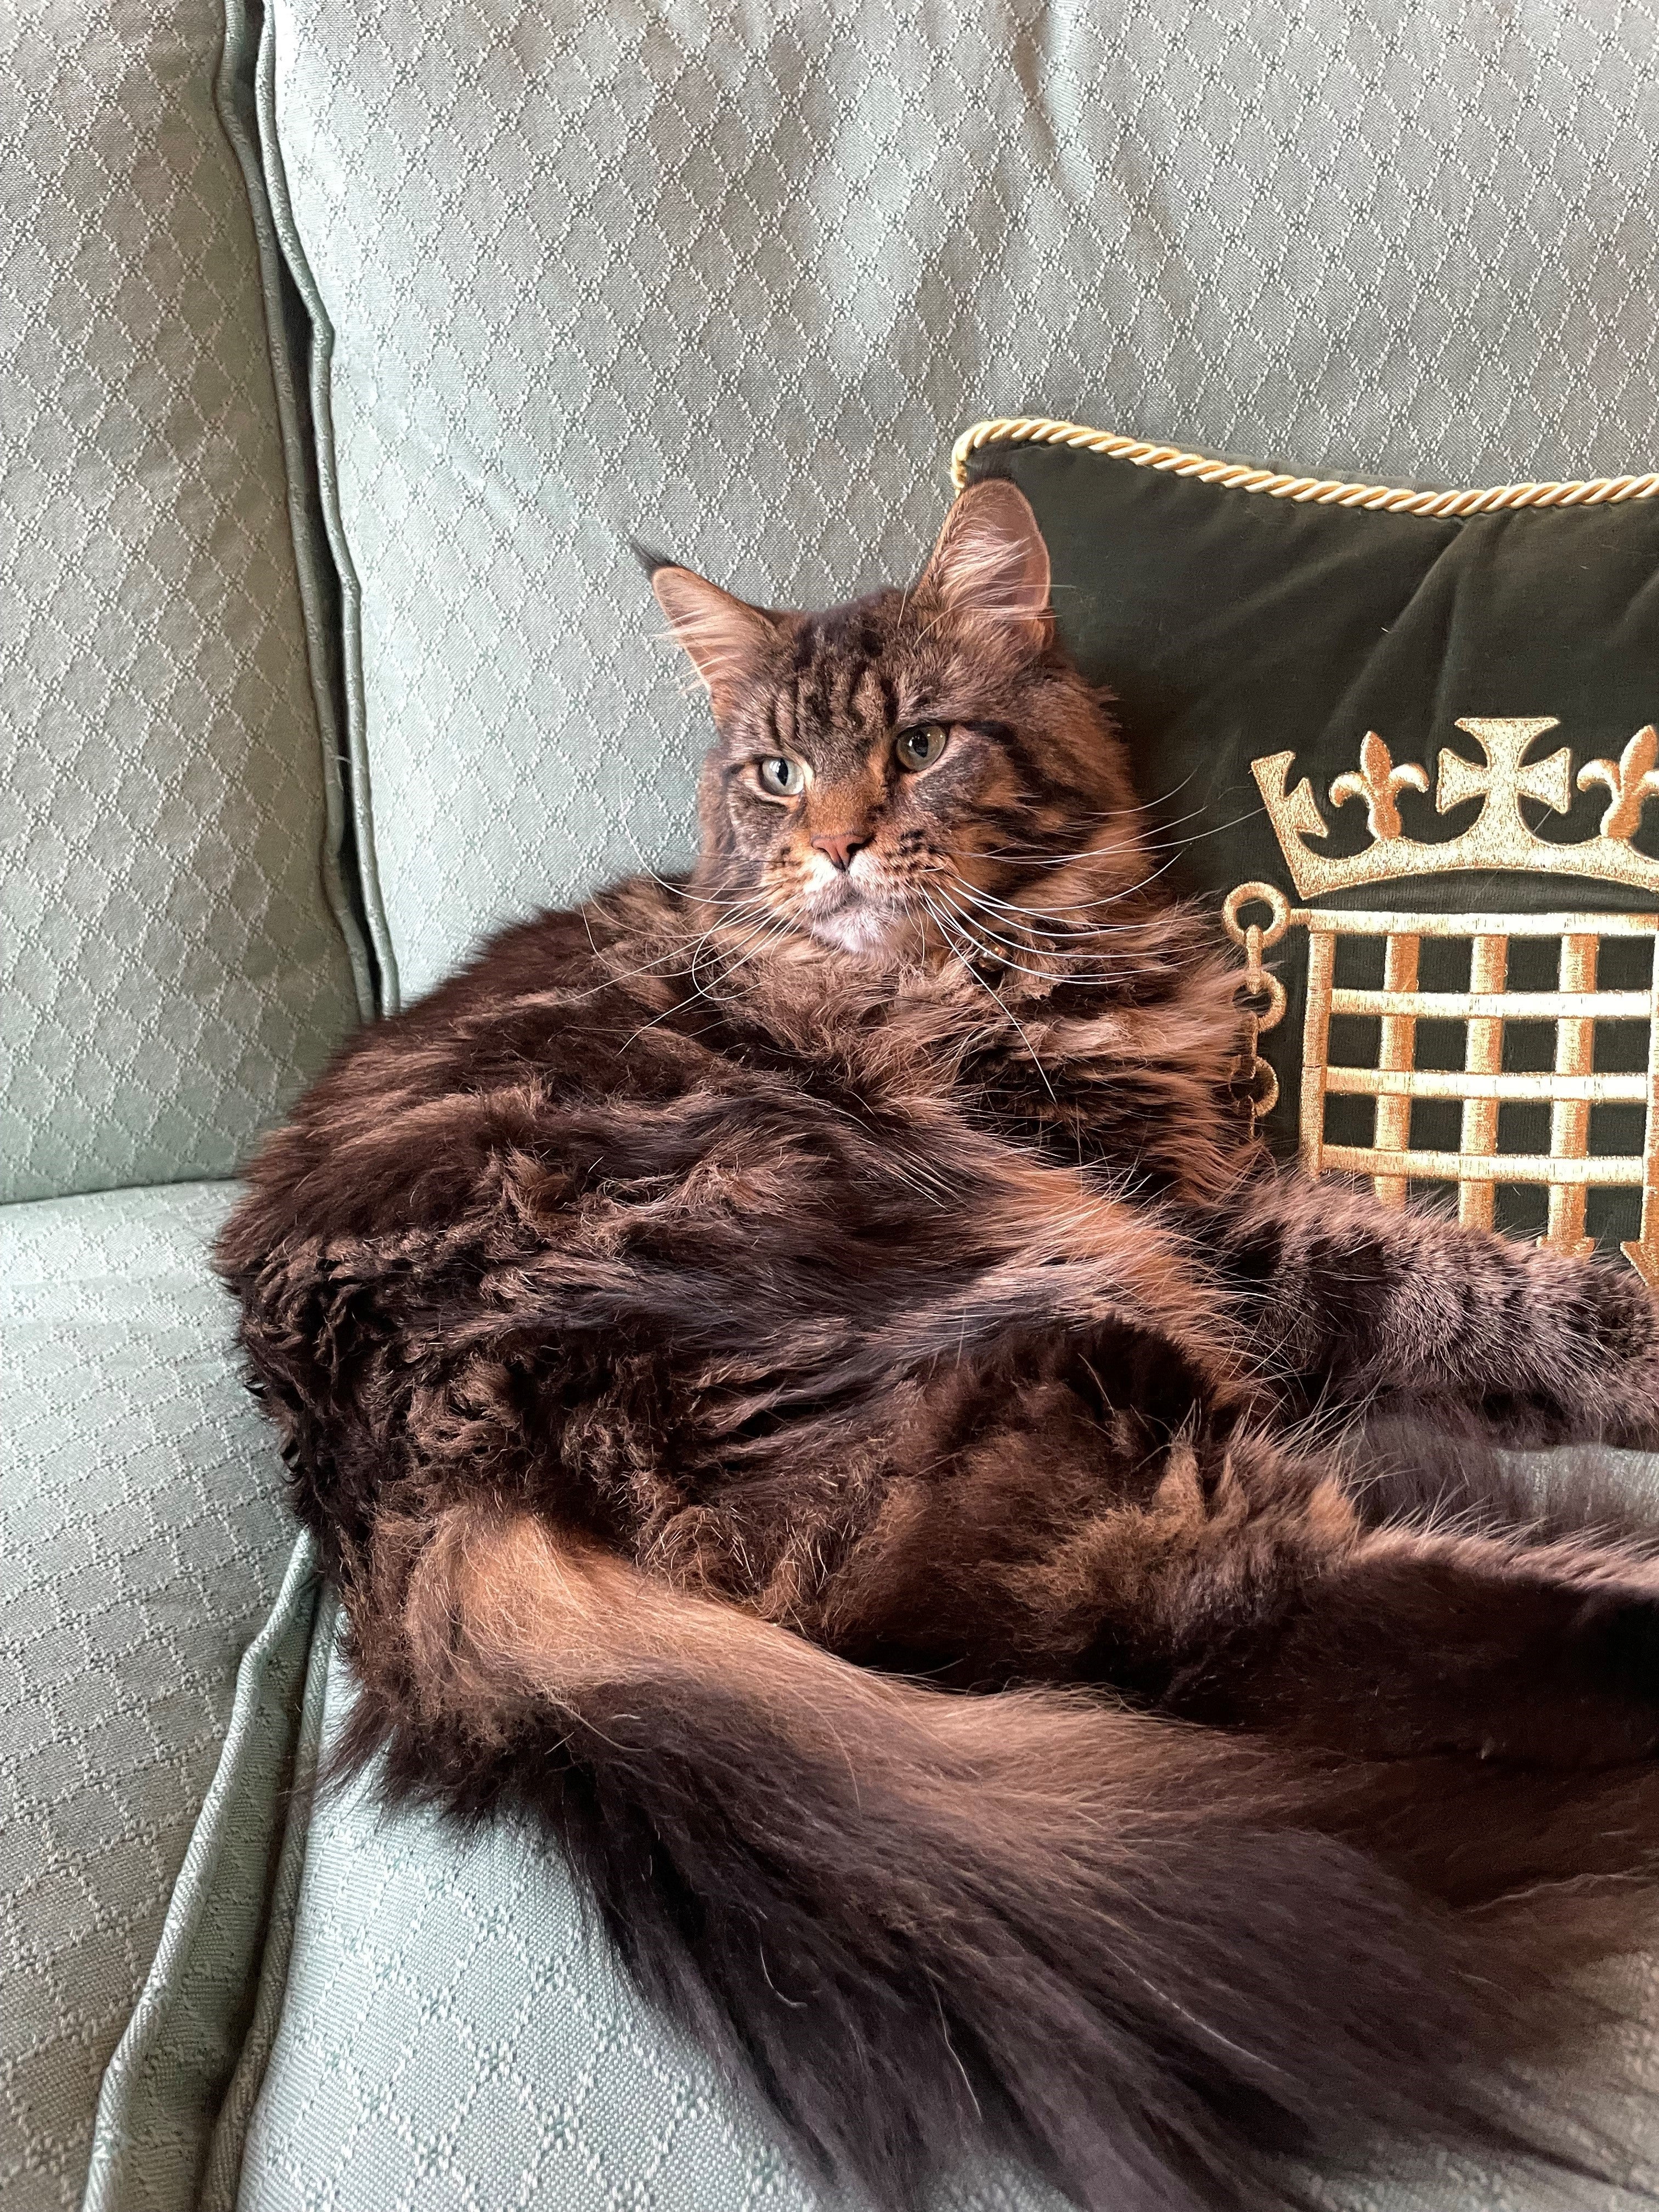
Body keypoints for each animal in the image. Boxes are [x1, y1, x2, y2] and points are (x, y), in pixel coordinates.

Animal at [224, 484, 1659, 2212]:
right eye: (779, 773)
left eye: (919, 745)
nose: (837, 845)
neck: (1002, 957)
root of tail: (393, 1494)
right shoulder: (1182, 1213)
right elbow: (1471, 1285)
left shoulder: (1206, 1203)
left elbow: (1489, 1294)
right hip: (1028, 1302)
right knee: (1248, 1609)